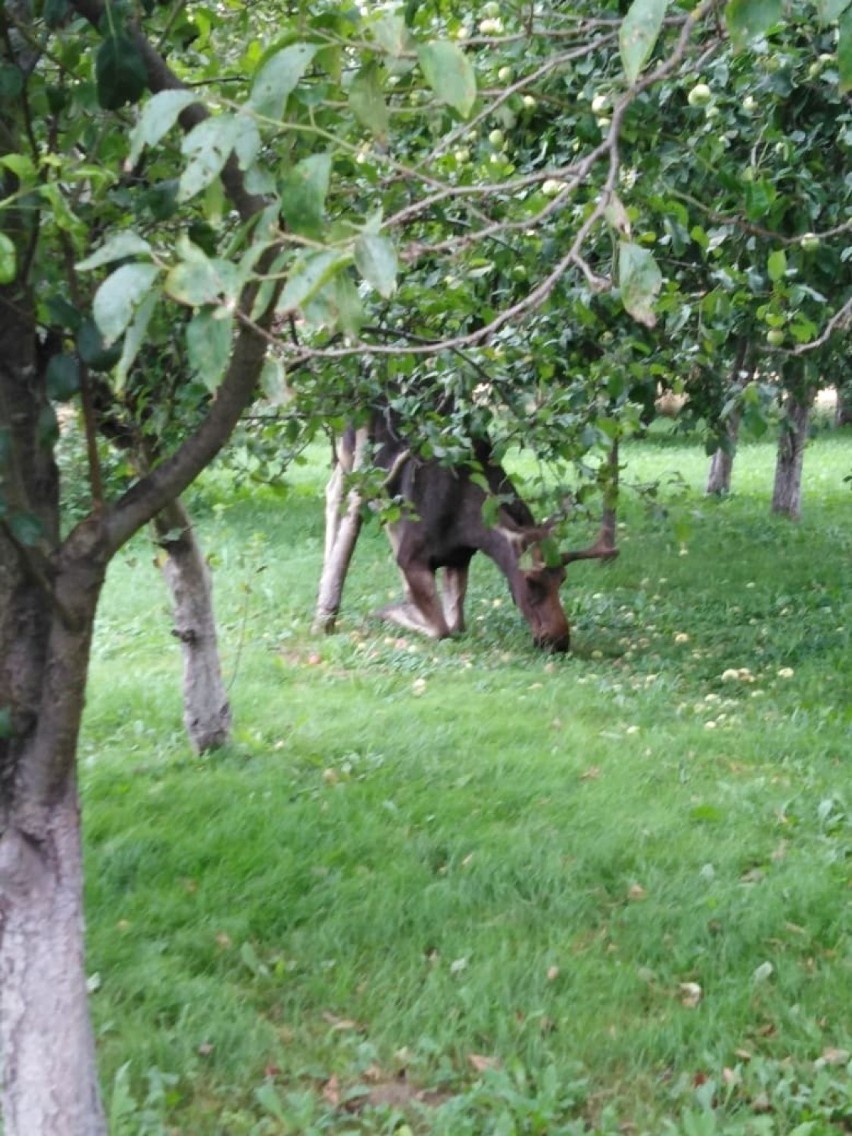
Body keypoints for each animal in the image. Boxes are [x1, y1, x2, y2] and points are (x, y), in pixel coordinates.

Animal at [313, 413, 622, 654]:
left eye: (563, 578)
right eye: (531, 581)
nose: (558, 641)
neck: (469, 522)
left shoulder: (458, 556)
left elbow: (455, 624)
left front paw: (407, 604)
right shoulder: (412, 556)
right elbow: (440, 629)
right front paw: (388, 612)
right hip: (352, 446)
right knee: (337, 493)